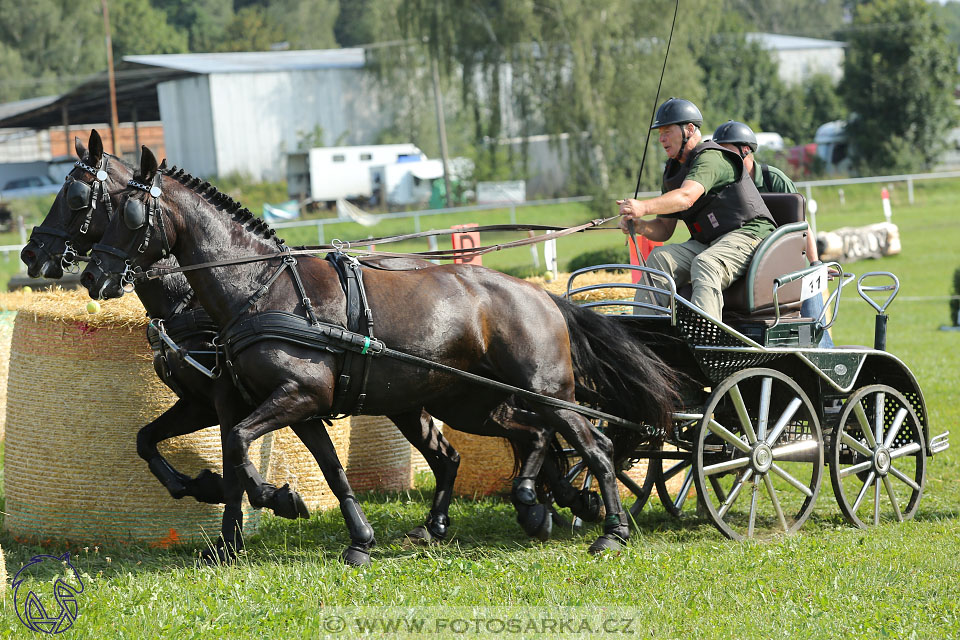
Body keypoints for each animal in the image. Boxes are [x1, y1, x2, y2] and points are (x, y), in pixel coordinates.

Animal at [84, 148, 684, 564]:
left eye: (130, 214)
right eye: (100, 211)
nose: (93, 276)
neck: (259, 288)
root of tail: (543, 295)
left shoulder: (298, 395)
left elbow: (240, 449)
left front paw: (281, 503)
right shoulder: (284, 403)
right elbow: (301, 466)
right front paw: (339, 536)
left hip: (547, 393)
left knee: (594, 445)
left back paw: (609, 531)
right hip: (468, 403)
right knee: (514, 441)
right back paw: (520, 508)